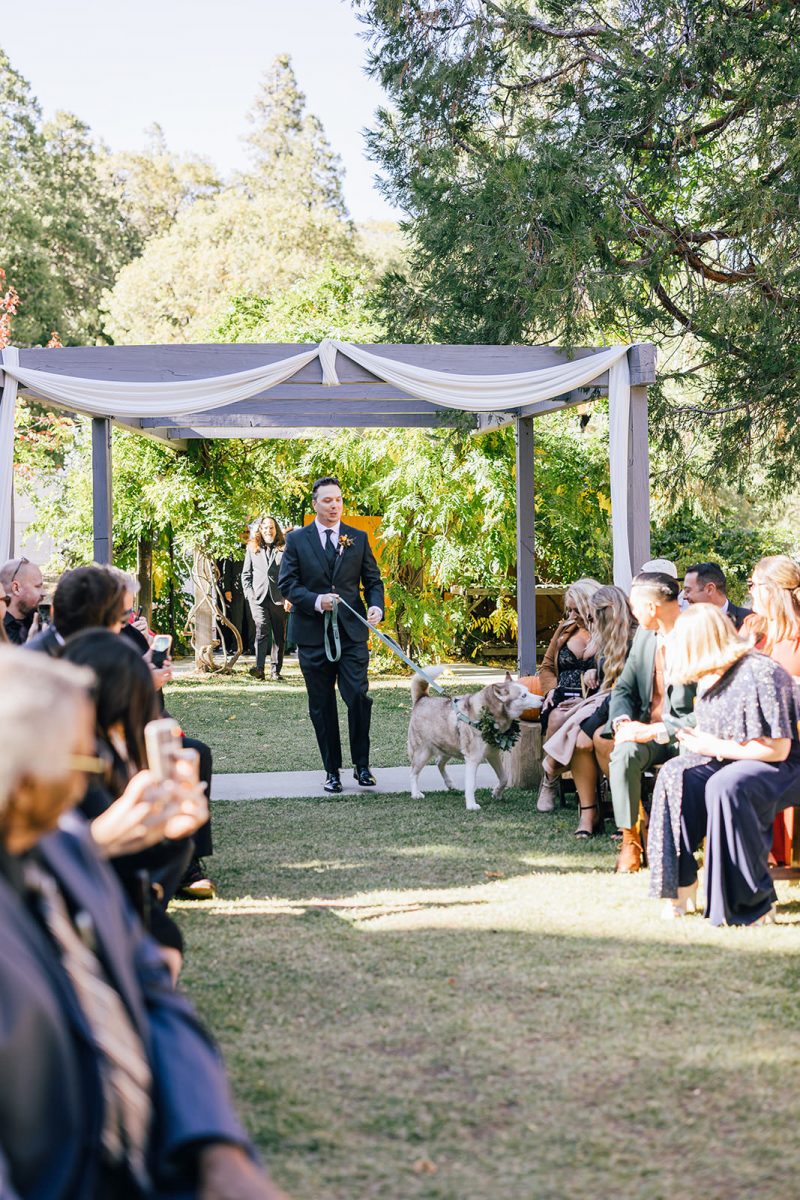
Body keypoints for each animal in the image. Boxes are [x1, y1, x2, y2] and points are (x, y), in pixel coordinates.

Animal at [410, 667, 542, 816]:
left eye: (528, 691)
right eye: (524, 695)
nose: (543, 698)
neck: (487, 716)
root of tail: (422, 698)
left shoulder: (493, 754)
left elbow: (504, 778)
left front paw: (497, 793)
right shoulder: (473, 759)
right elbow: (471, 784)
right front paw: (471, 805)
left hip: (448, 748)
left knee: (439, 763)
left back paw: (450, 784)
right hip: (423, 753)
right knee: (413, 773)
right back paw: (415, 793)